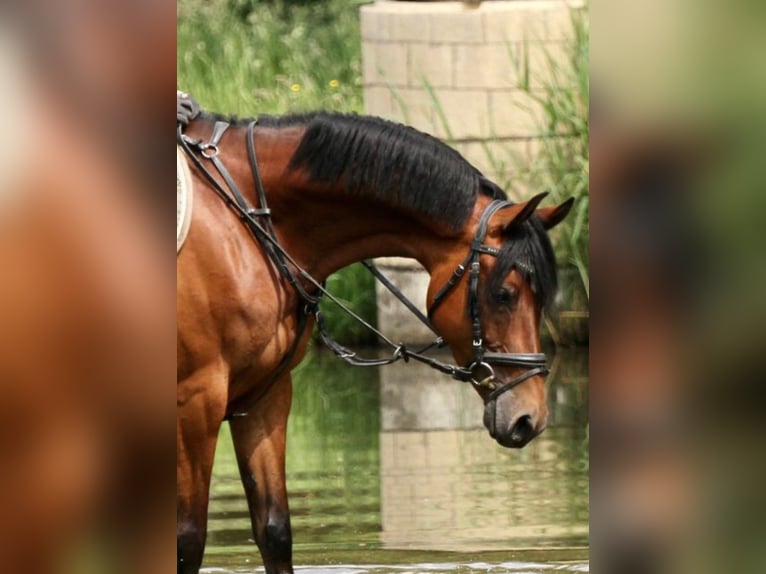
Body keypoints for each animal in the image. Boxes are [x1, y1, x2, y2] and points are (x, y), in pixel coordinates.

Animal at [178, 109, 568, 574]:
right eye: (504, 294)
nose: (530, 418)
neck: (243, 223)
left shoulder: (265, 395)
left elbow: (274, 531)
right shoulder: (197, 400)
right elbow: (188, 541)